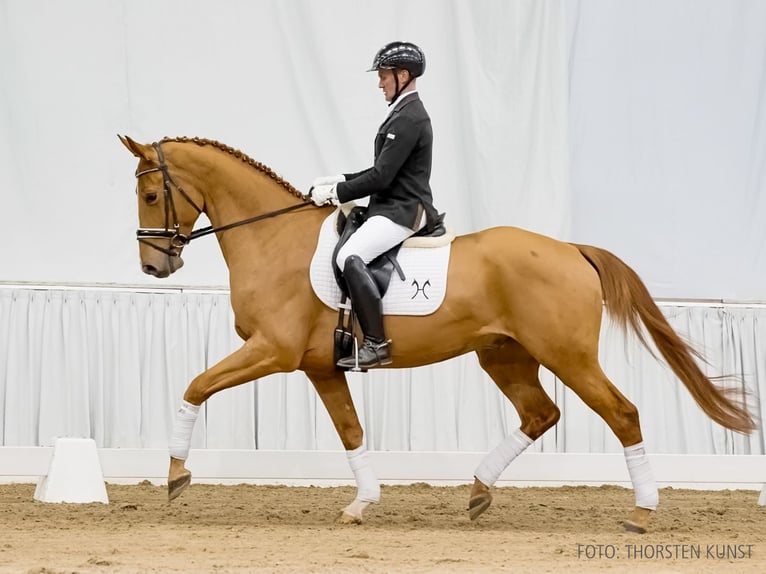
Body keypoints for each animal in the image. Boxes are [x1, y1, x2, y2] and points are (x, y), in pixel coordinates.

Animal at [121, 136, 756, 536]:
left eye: (151, 195)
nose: (154, 266)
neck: (273, 240)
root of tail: (571, 249)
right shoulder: (320, 367)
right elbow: (351, 432)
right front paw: (361, 504)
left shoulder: (271, 352)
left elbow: (195, 385)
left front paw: (175, 476)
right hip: (503, 356)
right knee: (540, 414)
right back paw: (477, 492)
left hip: (568, 356)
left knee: (622, 414)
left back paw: (642, 513)